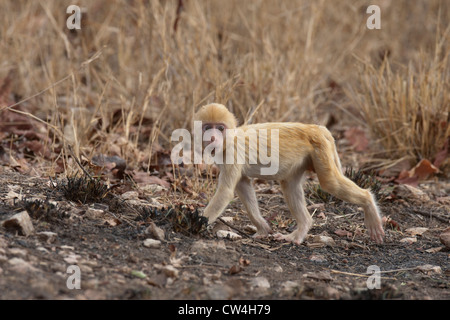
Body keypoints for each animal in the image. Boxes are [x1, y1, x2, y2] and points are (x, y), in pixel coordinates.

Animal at [193, 104, 384, 244]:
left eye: (220, 128)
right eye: (208, 128)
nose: (212, 137)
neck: (229, 139)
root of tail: (316, 128)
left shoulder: (232, 153)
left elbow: (225, 192)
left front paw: (196, 224)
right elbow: (243, 185)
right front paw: (263, 228)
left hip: (320, 148)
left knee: (330, 183)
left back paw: (368, 202)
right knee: (290, 184)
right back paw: (300, 231)